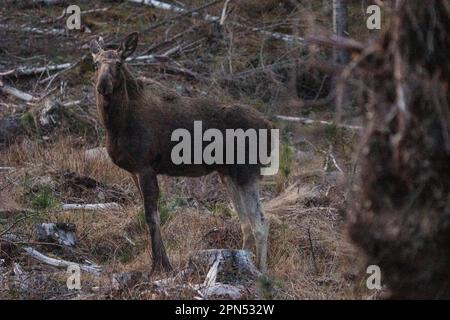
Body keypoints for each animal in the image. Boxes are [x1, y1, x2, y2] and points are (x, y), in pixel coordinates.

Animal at [90, 32, 274, 272]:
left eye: (119, 64)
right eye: (95, 64)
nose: (103, 85)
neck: (116, 124)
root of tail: (270, 126)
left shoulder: (145, 166)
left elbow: (152, 218)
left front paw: (160, 266)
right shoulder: (134, 171)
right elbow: (150, 215)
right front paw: (162, 263)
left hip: (246, 172)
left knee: (260, 222)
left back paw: (261, 271)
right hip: (228, 174)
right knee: (246, 223)